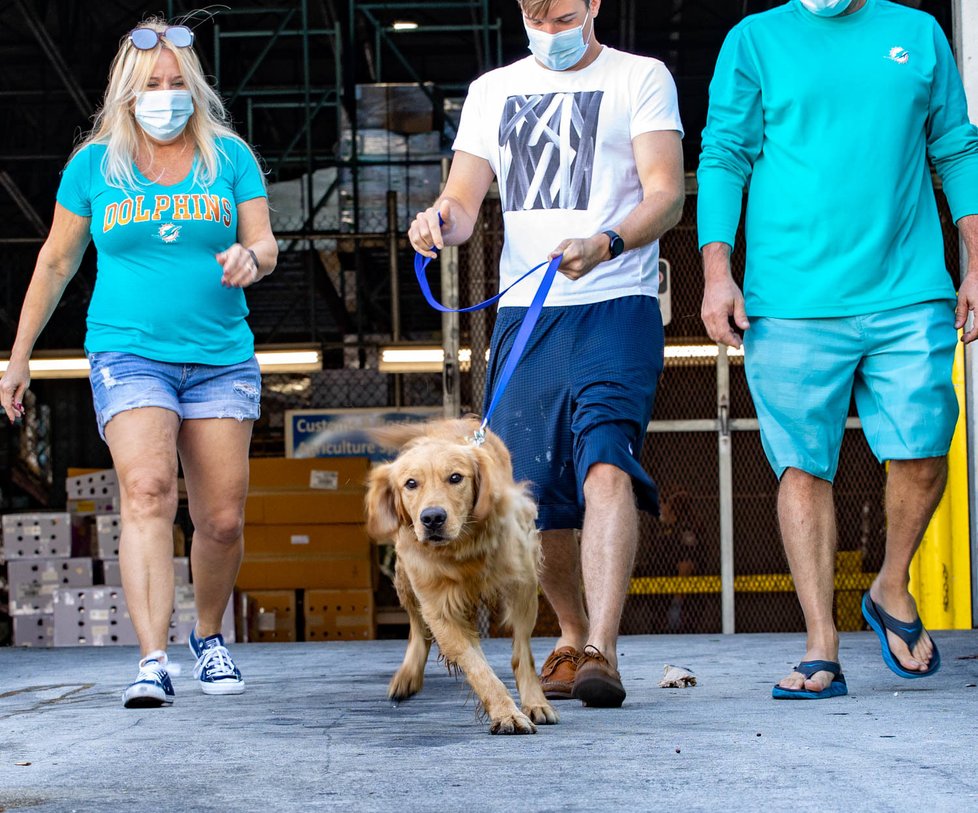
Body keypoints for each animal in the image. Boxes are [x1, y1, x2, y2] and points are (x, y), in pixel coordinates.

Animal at [362, 418, 556, 736]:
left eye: (455, 478)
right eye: (411, 483)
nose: (432, 518)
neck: (462, 548)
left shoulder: (523, 583)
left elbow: (522, 651)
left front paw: (534, 702)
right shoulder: (441, 608)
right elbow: (477, 665)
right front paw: (506, 712)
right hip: (404, 576)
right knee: (417, 628)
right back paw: (407, 676)